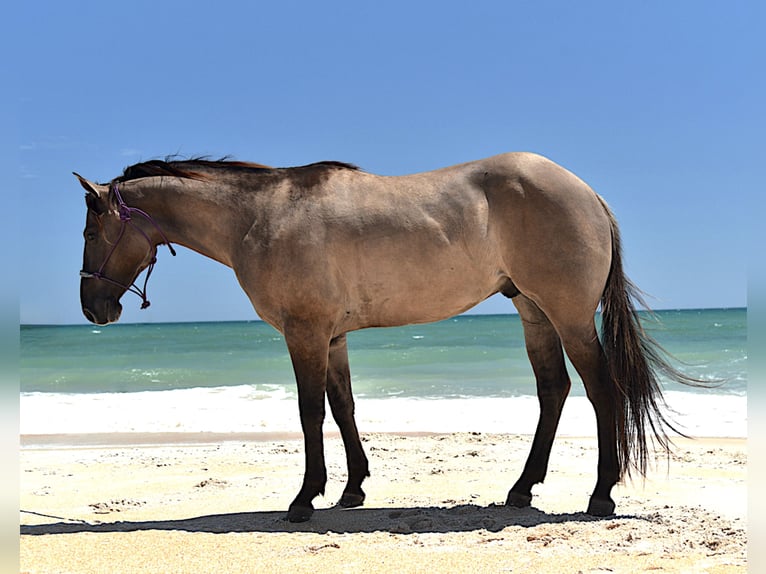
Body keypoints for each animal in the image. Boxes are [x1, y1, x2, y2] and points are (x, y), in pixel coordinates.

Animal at [76, 152, 696, 520]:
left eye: (91, 230)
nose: (93, 308)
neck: (259, 216)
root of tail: (586, 191)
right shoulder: (331, 338)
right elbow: (344, 407)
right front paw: (352, 489)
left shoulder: (304, 334)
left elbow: (309, 411)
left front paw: (305, 497)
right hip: (534, 312)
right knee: (554, 391)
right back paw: (522, 489)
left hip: (567, 316)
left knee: (601, 391)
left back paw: (600, 494)